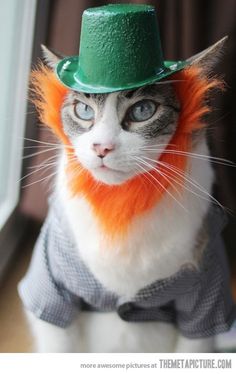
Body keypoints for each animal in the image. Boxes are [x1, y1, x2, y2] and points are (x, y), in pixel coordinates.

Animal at [18, 36, 236, 352]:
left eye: (143, 110)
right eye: (84, 111)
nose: (101, 147)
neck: (122, 204)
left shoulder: (206, 294)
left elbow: (195, 338)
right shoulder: (52, 283)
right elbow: (57, 336)